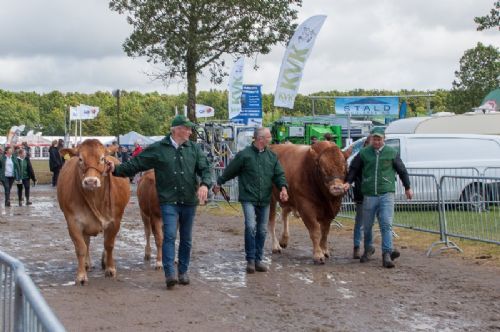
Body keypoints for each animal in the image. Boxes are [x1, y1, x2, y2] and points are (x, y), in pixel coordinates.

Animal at [57, 139, 131, 284]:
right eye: (80, 159)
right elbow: (81, 247)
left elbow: (109, 244)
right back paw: (86, 264)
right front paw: (81, 275)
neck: (95, 198)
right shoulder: (73, 222)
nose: (91, 182)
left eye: (102, 159)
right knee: (87, 243)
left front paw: (110, 269)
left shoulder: (115, 221)